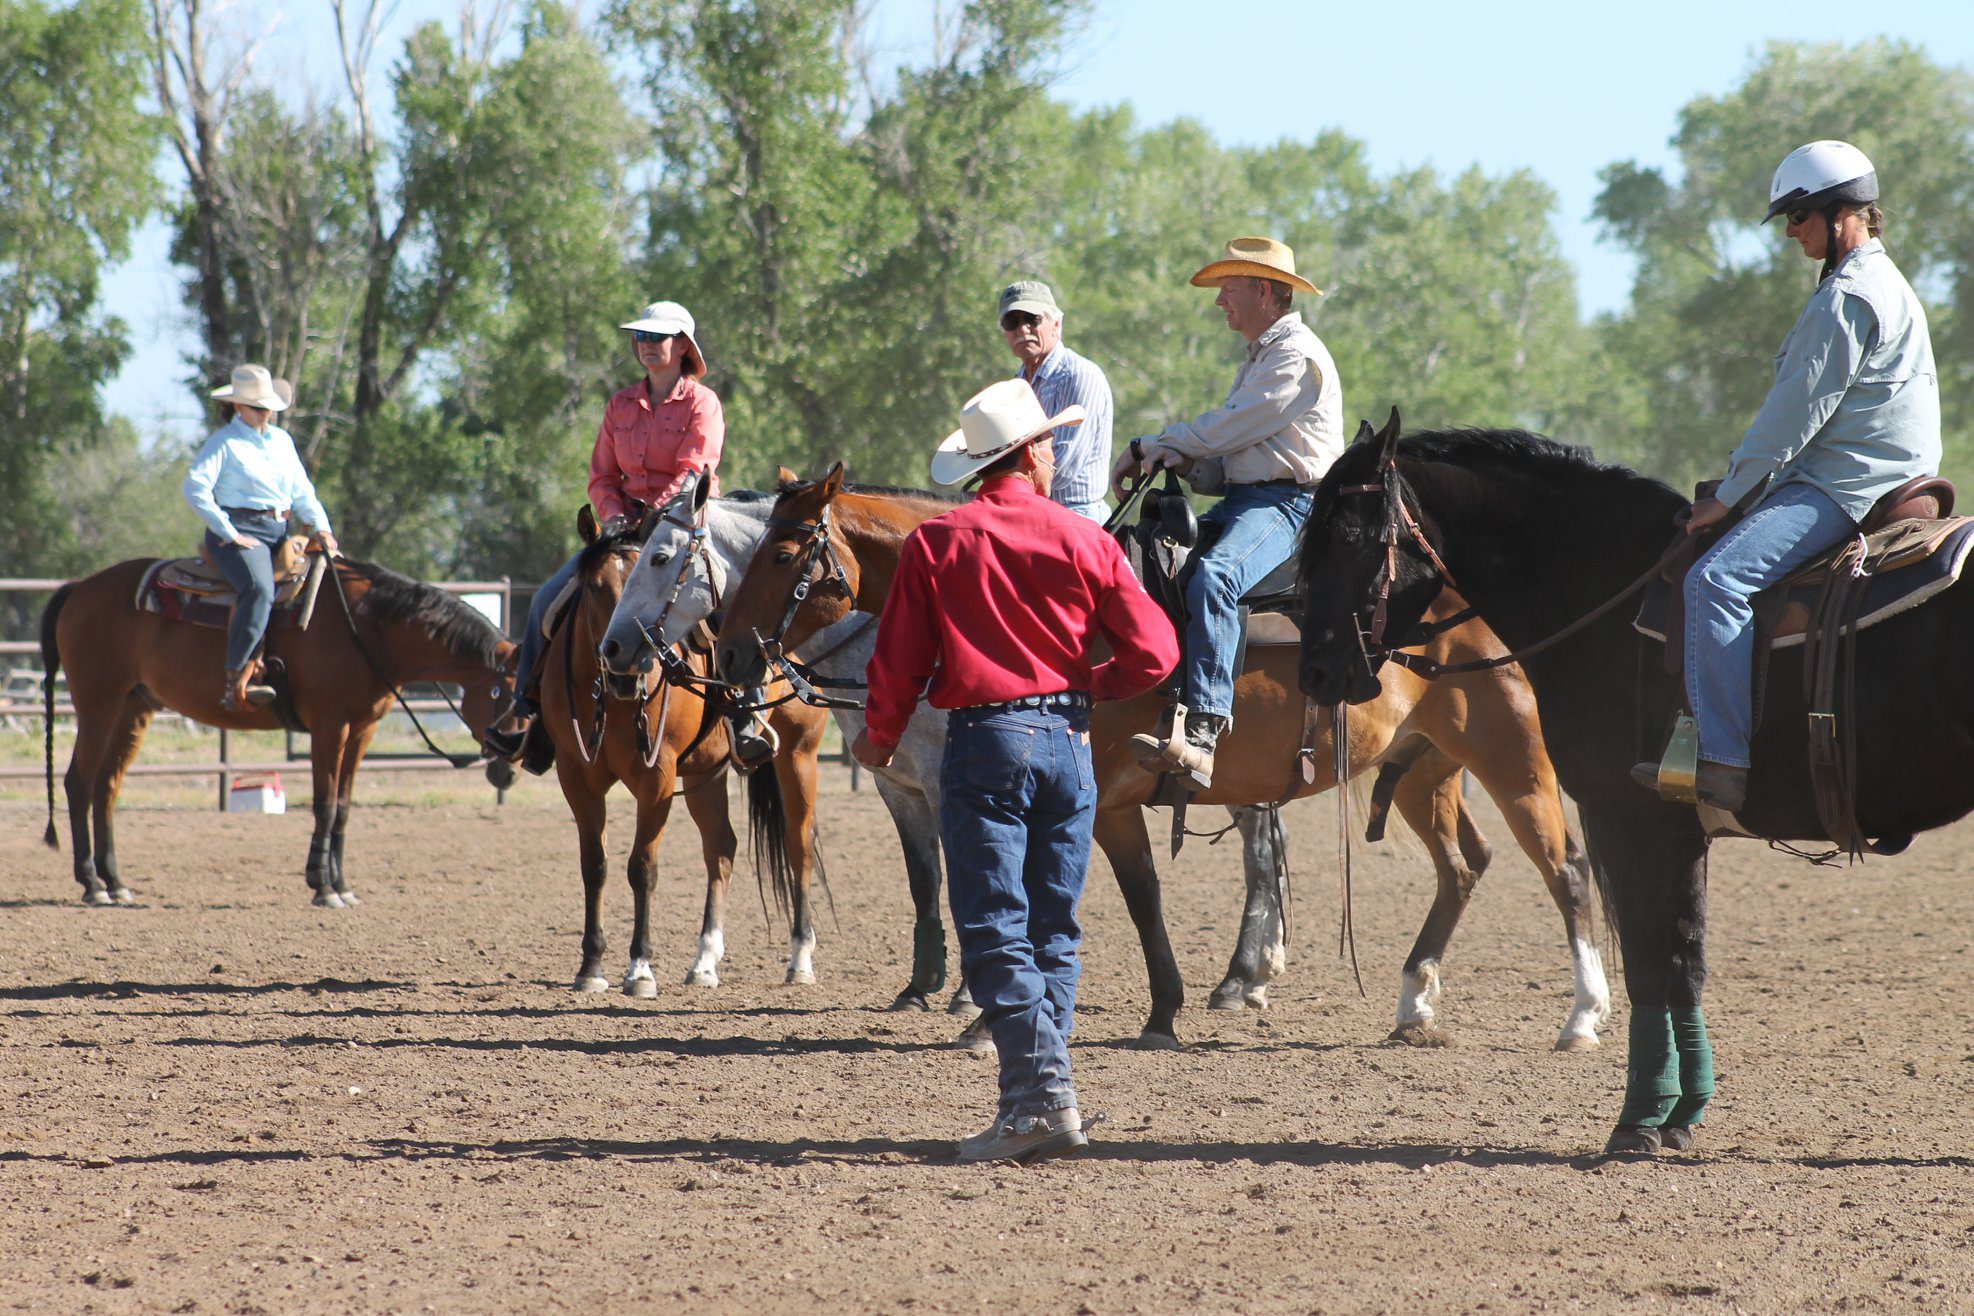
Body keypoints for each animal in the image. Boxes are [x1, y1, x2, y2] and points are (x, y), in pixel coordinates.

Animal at [43, 552, 517, 907]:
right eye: (503, 693)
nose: (508, 772)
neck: (366, 629)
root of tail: (79, 588)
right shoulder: (331, 726)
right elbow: (325, 803)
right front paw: (322, 887)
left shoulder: (363, 731)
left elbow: (344, 805)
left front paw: (343, 885)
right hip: (98, 704)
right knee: (79, 784)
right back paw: (92, 884)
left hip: (134, 709)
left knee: (106, 788)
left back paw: (116, 882)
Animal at [532, 487, 825, 998]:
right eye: (593, 586)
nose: (623, 661)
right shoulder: (577, 777)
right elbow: (595, 866)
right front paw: (591, 966)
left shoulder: (657, 779)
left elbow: (642, 867)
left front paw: (639, 969)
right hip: (707, 774)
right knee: (722, 849)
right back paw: (704, 961)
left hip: (798, 755)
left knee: (798, 845)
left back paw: (800, 959)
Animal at [1287, 412, 1974, 1152]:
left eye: (1348, 535)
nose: (1315, 671)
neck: (1605, 592)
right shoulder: (1681, 833)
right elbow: (1685, 965)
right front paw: (1681, 1116)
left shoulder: (1630, 820)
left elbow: (1650, 964)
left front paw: (1637, 1123)